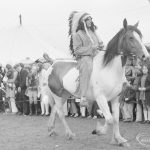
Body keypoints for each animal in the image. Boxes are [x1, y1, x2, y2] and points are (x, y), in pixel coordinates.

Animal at [46, 18, 149, 146]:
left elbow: (115, 119)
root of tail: (52, 65)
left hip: (64, 95)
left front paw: (119, 139)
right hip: (57, 95)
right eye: (130, 37)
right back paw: (69, 134)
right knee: (60, 113)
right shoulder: (101, 98)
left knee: (55, 110)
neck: (109, 69)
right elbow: (109, 119)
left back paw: (51, 130)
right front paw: (99, 131)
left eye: (140, 36)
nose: (146, 56)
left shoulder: (116, 98)